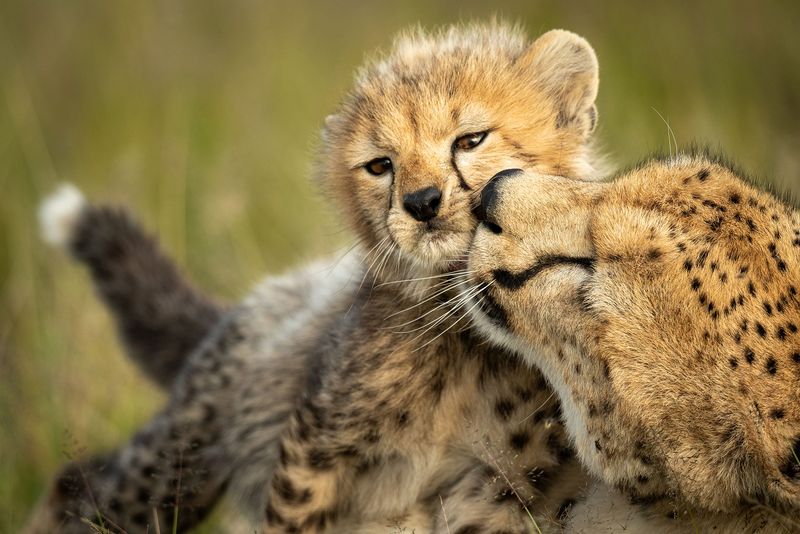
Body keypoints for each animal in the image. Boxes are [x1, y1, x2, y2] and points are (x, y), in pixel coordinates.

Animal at [27, 22, 606, 533]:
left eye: (470, 140)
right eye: (380, 165)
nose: (422, 203)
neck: (459, 325)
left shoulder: (498, 487)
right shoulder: (315, 443)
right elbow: (293, 517)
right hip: (182, 460)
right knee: (90, 494)